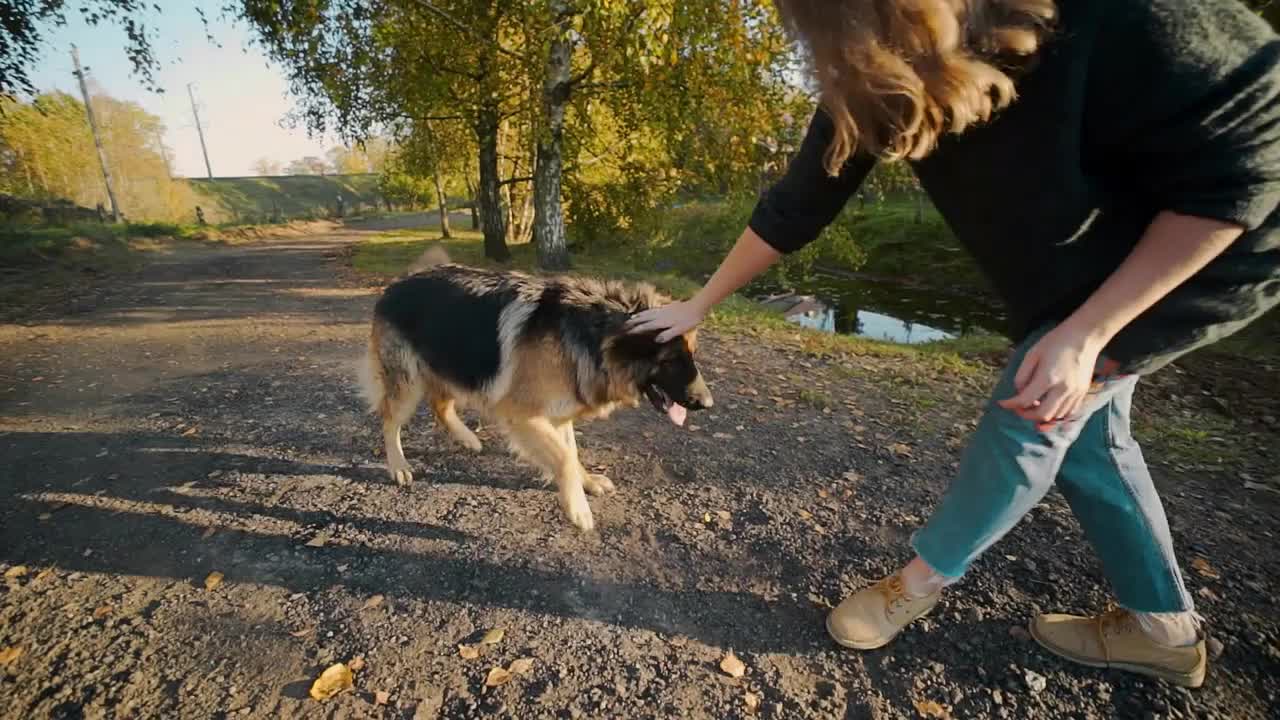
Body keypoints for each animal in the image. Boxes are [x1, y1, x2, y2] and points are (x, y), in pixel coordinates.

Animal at [360, 249, 716, 530]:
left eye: (693, 355)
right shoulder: (523, 417)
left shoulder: (558, 415)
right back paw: (399, 466)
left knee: (440, 406)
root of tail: (399, 282)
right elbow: (564, 458)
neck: (592, 337)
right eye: (670, 360)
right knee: (389, 420)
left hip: (455, 369)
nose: (708, 403)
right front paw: (577, 508)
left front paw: (586, 483)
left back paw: (467, 438)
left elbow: (571, 453)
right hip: (407, 383)